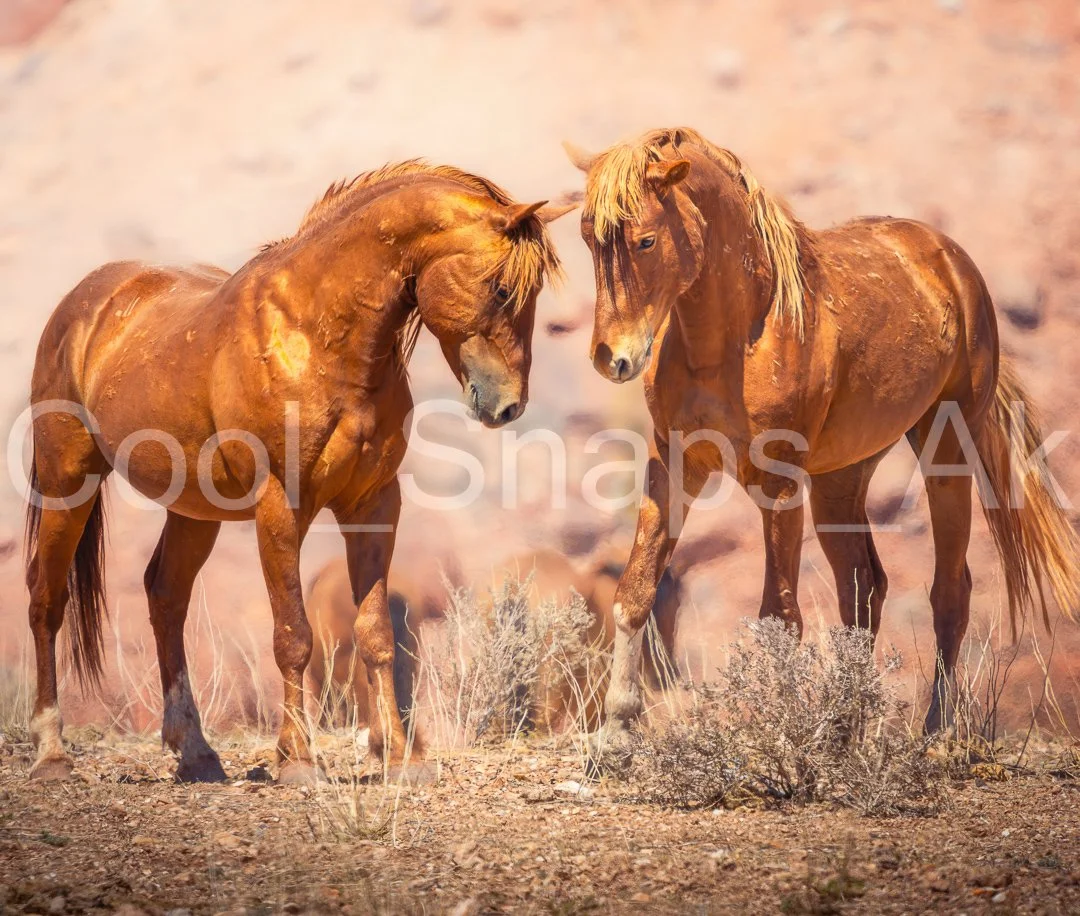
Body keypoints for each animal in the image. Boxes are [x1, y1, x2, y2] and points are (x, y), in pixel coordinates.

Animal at [24, 160, 574, 783]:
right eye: (502, 289)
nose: (507, 406)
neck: (317, 337)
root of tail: (84, 304)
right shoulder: (280, 509)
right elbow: (293, 635)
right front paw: (299, 760)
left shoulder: (374, 506)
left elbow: (376, 635)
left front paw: (402, 758)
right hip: (68, 483)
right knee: (47, 600)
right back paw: (51, 752)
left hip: (194, 513)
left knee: (165, 596)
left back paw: (196, 752)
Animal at [563, 127, 1079, 755]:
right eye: (588, 237)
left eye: (645, 239)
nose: (611, 357)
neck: (740, 335)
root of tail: (950, 260)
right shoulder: (675, 462)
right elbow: (635, 589)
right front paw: (614, 731)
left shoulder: (779, 482)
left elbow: (781, 615)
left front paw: (773, 737)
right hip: (841, 479)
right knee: (864, 591)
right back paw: (843, 730)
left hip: (946, 451)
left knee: (949, 591)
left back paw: (934, 730)